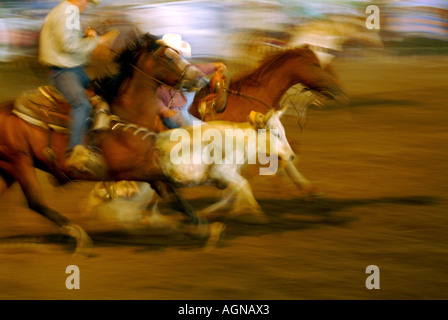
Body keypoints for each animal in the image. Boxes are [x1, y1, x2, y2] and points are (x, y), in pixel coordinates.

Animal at [0, 33, 212, 252]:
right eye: (168, 58)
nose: (202, 79)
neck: (126, 115)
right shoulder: (133, 169)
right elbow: (168, 188)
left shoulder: (147, 168)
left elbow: (171, 194)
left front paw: (197, 226)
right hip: (19, 161)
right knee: (35, 201)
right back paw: (77, 233)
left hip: (8, 168)